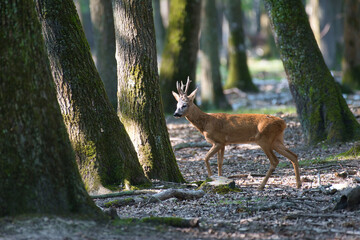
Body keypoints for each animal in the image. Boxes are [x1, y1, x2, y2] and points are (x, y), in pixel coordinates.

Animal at [172, 77, 300, 189]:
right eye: (177, 105)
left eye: (184, 105)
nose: (175, 114)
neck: (206, 123)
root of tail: (283, 123)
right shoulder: (223, 143)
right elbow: (220, 162)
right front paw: (220, 180)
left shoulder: (218, 141)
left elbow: (206, 158)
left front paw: (210, 177)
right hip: (277, 139)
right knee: (293, 155)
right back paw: (298, 184)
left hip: (264, 139)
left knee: (275, 161)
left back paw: (261, 186)